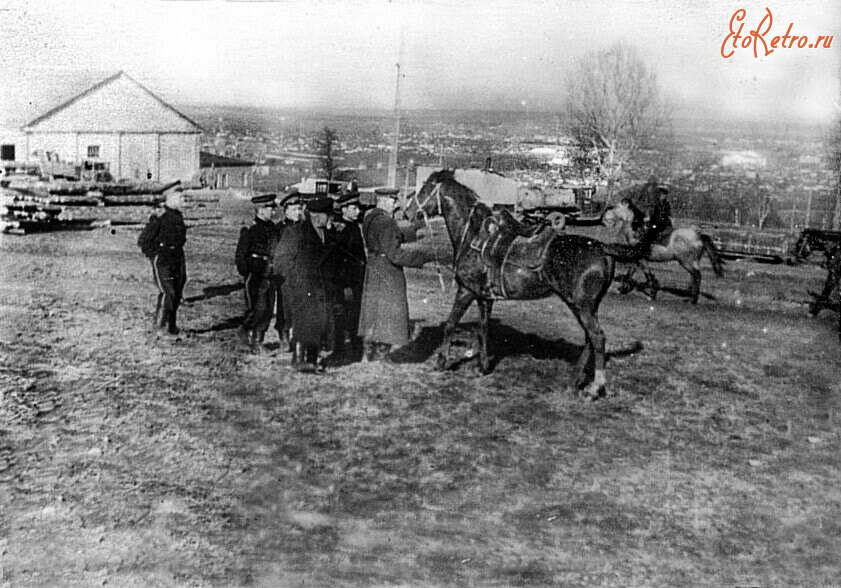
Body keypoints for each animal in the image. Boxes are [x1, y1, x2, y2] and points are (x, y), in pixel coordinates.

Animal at [414, 169, 616, 400]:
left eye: (426, 188)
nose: (409, 212)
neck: (473, 237)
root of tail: (603, 249)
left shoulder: (466, 291)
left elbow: (451, 324)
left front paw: (441, 363)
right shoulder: (484, 296)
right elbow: (483, 328)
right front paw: (482, 367)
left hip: (582, 306)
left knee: (597, 338)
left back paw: (595, 388)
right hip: (585, 306)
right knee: (590, 339)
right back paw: (573, 382)